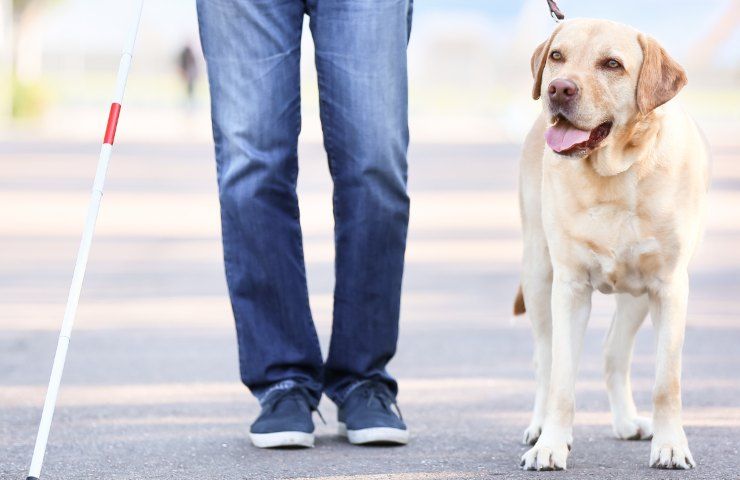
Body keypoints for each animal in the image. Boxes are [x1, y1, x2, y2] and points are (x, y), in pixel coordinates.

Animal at [516, 17, 712, 468]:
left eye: (612, 64)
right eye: (557, 56)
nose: (559, 89)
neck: (617, 172)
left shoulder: (669, 287)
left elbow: (666, 381)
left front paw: (670, 444)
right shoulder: (569, 287)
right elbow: (562, 379)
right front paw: (551, 444)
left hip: (636, 296)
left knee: (613, 353)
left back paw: (625, 421)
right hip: (537, 272)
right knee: (544, 357)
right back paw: (538, 426)